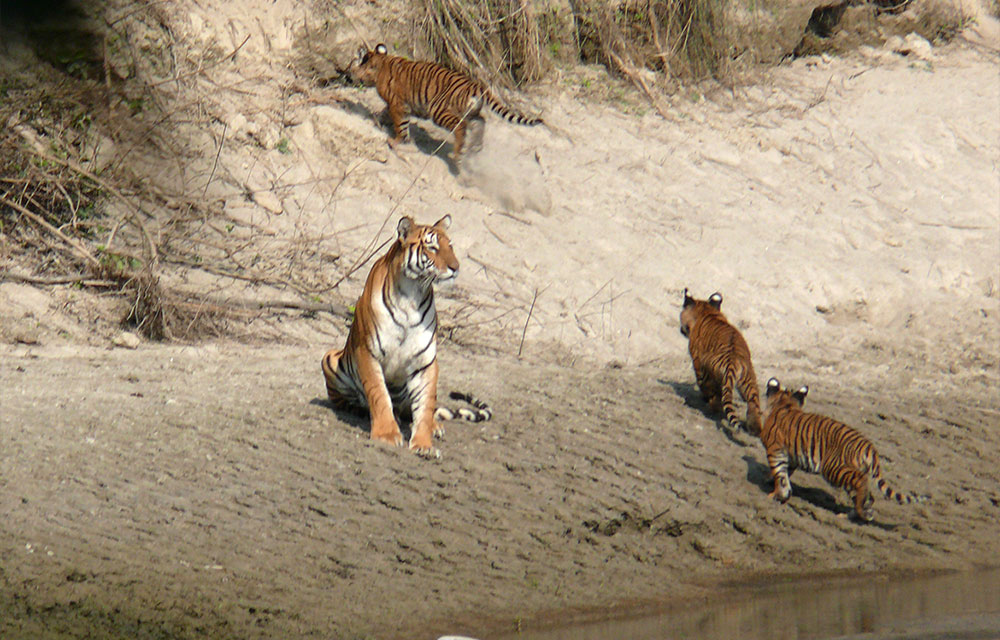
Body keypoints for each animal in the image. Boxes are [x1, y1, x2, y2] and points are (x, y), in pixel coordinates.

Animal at [322, 215, 490, 456]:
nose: (455, 268)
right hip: (330, 358)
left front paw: (424, 444)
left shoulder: (426, 362)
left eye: (450, 246)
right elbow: (379, 395)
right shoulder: (368, 352)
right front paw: (386, 435)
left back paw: (435, 426)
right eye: (432, 247)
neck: (412, 292)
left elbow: (425, 405)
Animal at [350, 42, 544, 162]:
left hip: (440, 111)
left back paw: (458, 154)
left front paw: (396, 140)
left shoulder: (398, 104)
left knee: (461, 127)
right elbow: (393, 119)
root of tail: (477, 86)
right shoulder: (399, 105)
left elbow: (401, 125)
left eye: (359, 62)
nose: (350, 74)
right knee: (481, 122)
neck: (382, 63)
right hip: (471, 112)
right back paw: (475, 147)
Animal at [684, 288, 760, 436]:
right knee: (753, 403)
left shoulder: (697, 361)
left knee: (716, 396)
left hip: (713, 373)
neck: (708, 313)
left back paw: (712, 409)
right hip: (749, 379)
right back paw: (755, 429)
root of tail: (733, 362)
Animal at [760, 378, 924, 524]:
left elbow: (780, 476)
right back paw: (852, 515)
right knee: (867, 496)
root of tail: (870, 447)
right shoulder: (791, 458)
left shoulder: (774, 452)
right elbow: (785, 476)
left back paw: (862, 513)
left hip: (833, 467)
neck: (785, 405)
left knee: (862, 482)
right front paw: (775, 487)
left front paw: (772, 495)